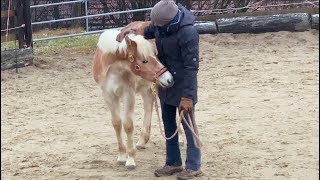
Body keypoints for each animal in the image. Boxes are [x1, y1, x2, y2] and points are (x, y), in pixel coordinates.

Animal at [91, 29, 174, 169]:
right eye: (144, 61)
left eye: (155, 56)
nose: (169, 79)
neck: (113, 69)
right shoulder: (108, 95)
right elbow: (117, 123)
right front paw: (121, 156)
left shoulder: (128, 94)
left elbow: (128, 125)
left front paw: (130, 159)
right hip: (147, 88)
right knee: (148, 106)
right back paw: (142, 141)